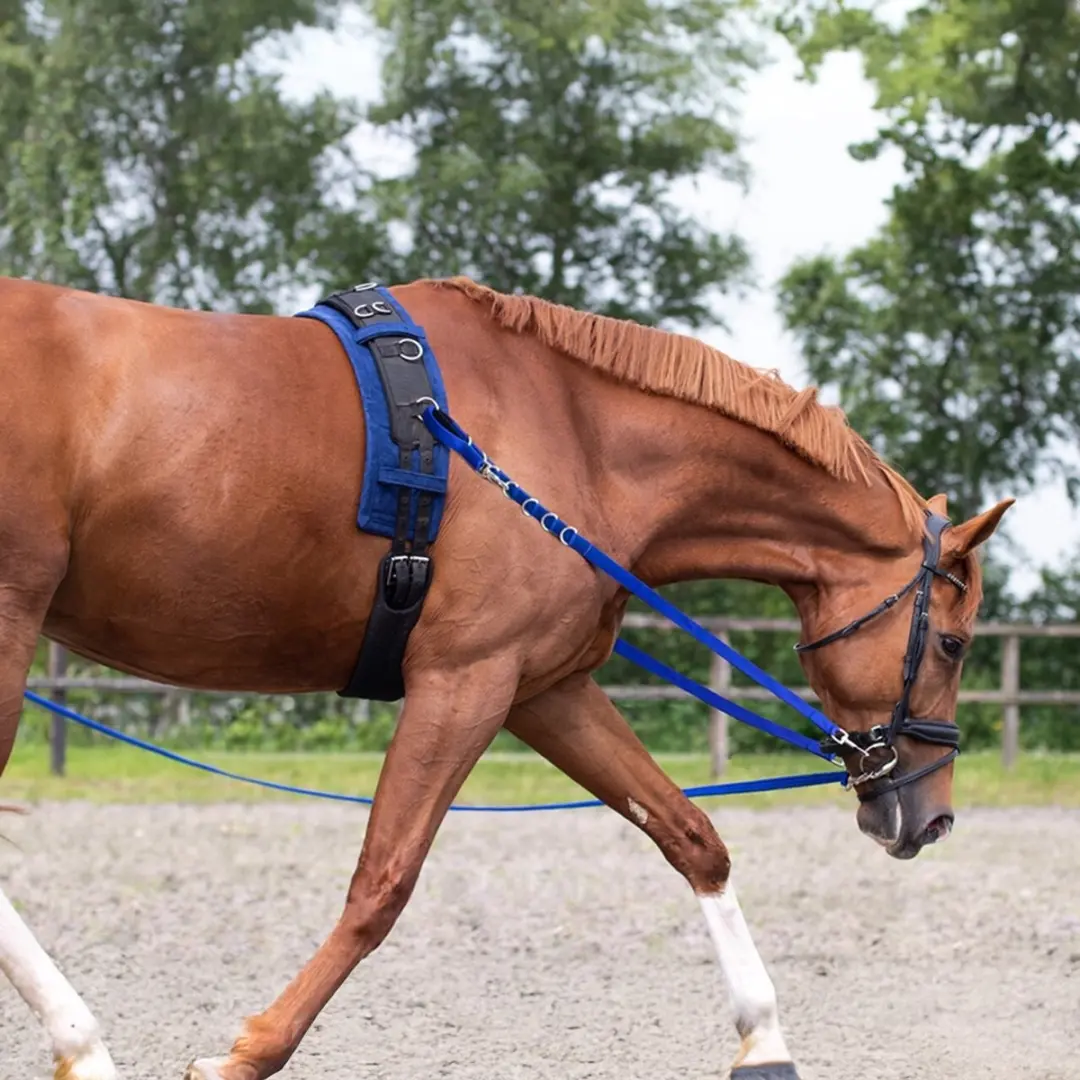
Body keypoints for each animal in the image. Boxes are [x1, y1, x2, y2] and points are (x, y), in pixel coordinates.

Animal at [0, 272, 1012, 1080]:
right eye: (955, 644)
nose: (931, 817)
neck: (577, 441)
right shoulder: (466, 681)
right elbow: (382, 883)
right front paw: (244, 1055)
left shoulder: (542, 689)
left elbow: (693, 838)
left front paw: (763, 1040)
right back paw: (84, 1045)